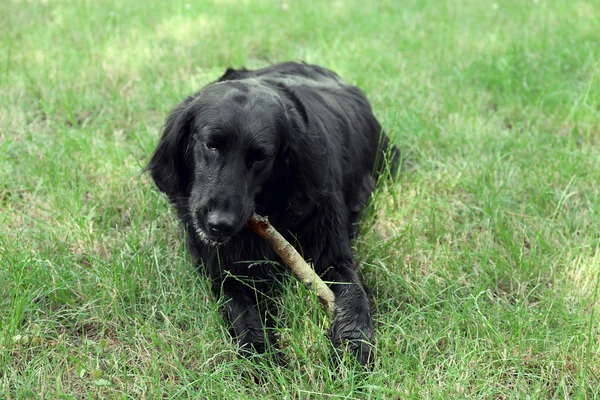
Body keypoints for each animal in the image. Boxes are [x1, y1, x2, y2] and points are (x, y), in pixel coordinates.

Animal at [146, 61, 398, 366]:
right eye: (211, 144)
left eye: (261, 157)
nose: (219, 224)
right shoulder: (223, 272)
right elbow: (241, 312)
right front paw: (260, 357)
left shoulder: (333, 254)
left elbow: (354, 294)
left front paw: (354, 346)